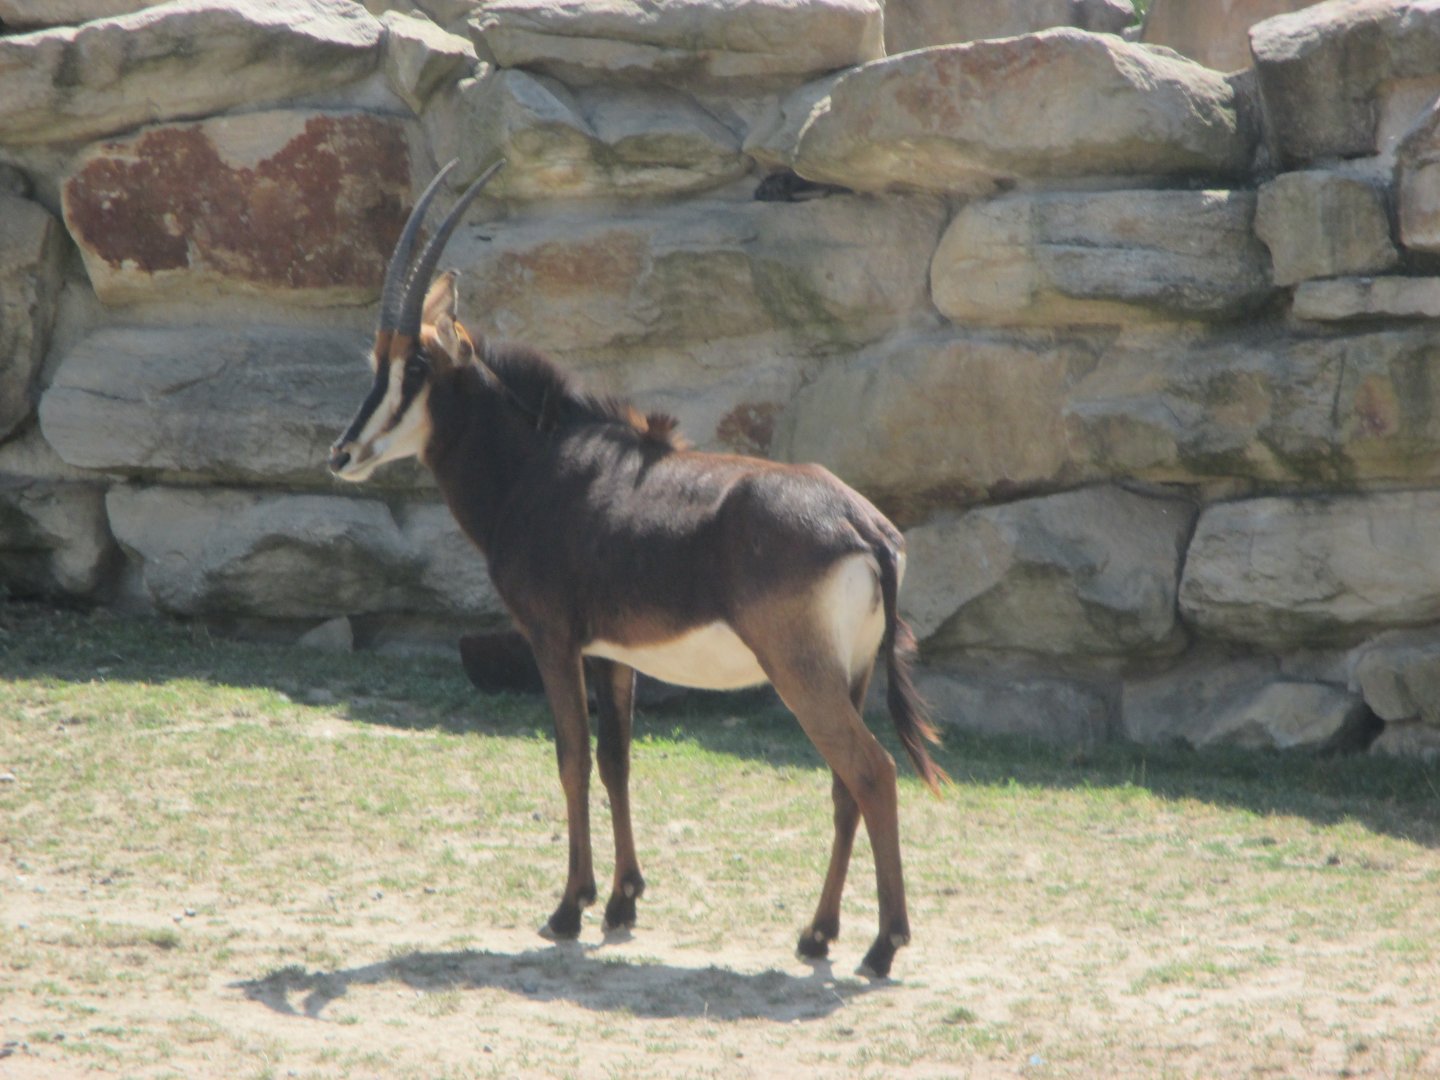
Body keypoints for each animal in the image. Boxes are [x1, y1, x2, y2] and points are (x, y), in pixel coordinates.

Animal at [328, 159, 947, 979]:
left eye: (417, 365)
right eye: (377, 361)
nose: (342, 454)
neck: (537, 463)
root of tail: (864, 527)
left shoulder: (551, 640)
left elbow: (570, 758)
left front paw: (568, 908)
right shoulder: (612, 655)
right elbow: (617, 761)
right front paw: (621, 902)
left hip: (800, 672)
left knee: (871, 771)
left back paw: (882, 947)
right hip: (850, 672)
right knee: (845, 785)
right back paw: (817, 936)